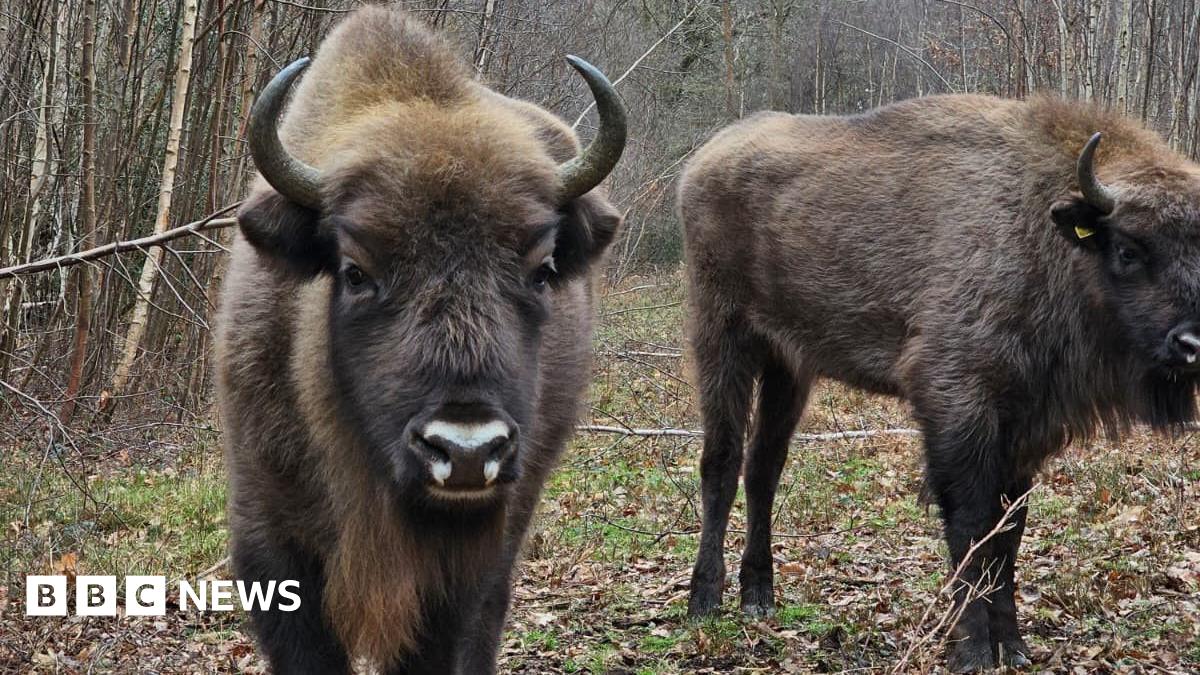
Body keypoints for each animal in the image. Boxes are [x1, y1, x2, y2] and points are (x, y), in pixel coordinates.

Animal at [679, 94, 1200, 671]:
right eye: (1128, 250)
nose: (1192, 343)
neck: (1040, 228)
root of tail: (703, 160)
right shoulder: (957, 403)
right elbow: (970, 526)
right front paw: (972, 651)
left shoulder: (1024, 428)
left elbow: (1007, 534)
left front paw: (1013, 646)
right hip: (722, 338)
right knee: (721, 462)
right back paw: (705, 600)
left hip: (788, 367)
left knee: (763, 468)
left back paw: (758, 596)